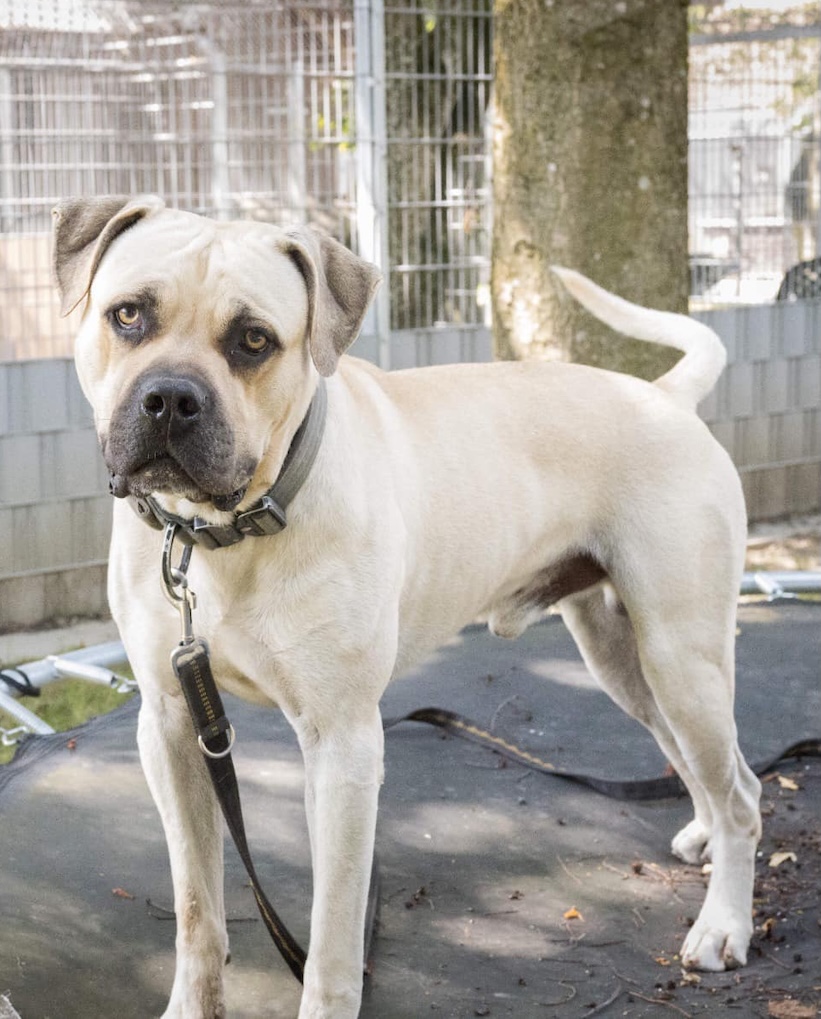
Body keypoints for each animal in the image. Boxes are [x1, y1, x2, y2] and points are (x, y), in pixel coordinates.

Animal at [53, 196, 761, 1019]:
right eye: (128, 314)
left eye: (253, 340)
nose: (170, 398)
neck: (226, 534)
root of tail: (662, 394)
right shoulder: (171, 728)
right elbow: (197, 909)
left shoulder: (343, 748)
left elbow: (331, 940)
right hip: (626, 659)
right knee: (705, 766)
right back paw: (704, 838)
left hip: (682, 657)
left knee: (742, 793)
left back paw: (723, 923)